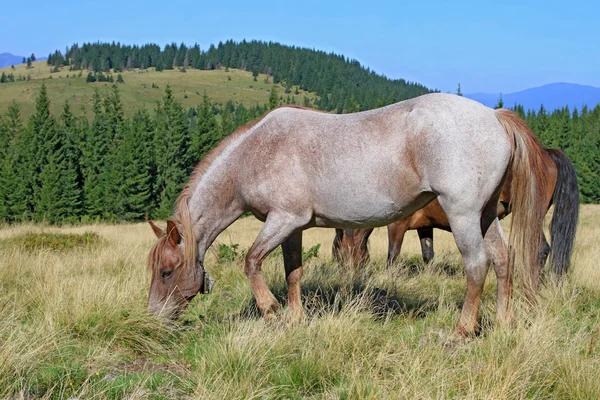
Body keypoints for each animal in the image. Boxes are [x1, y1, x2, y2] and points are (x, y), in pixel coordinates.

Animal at [145, 94, 548, 338]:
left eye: (166, 271)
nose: (153, 319)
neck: (255, 152)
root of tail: (494, 116)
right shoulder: (294, 226)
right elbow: (293, 272)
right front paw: (296, 319)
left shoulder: (282, 220)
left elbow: (251, 261)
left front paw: (271, 311)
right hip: (485, 214)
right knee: (503, 259)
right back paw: (503, 323)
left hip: (463, 214)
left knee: (477, 264)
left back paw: (462, 331)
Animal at [330, 148, 580, 276]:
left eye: (339, 253)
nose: (345, 274)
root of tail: (546, 152)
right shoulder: (425, 226)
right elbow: (428, 254)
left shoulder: (397, 226)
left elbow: (393, 255)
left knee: (540, 248)